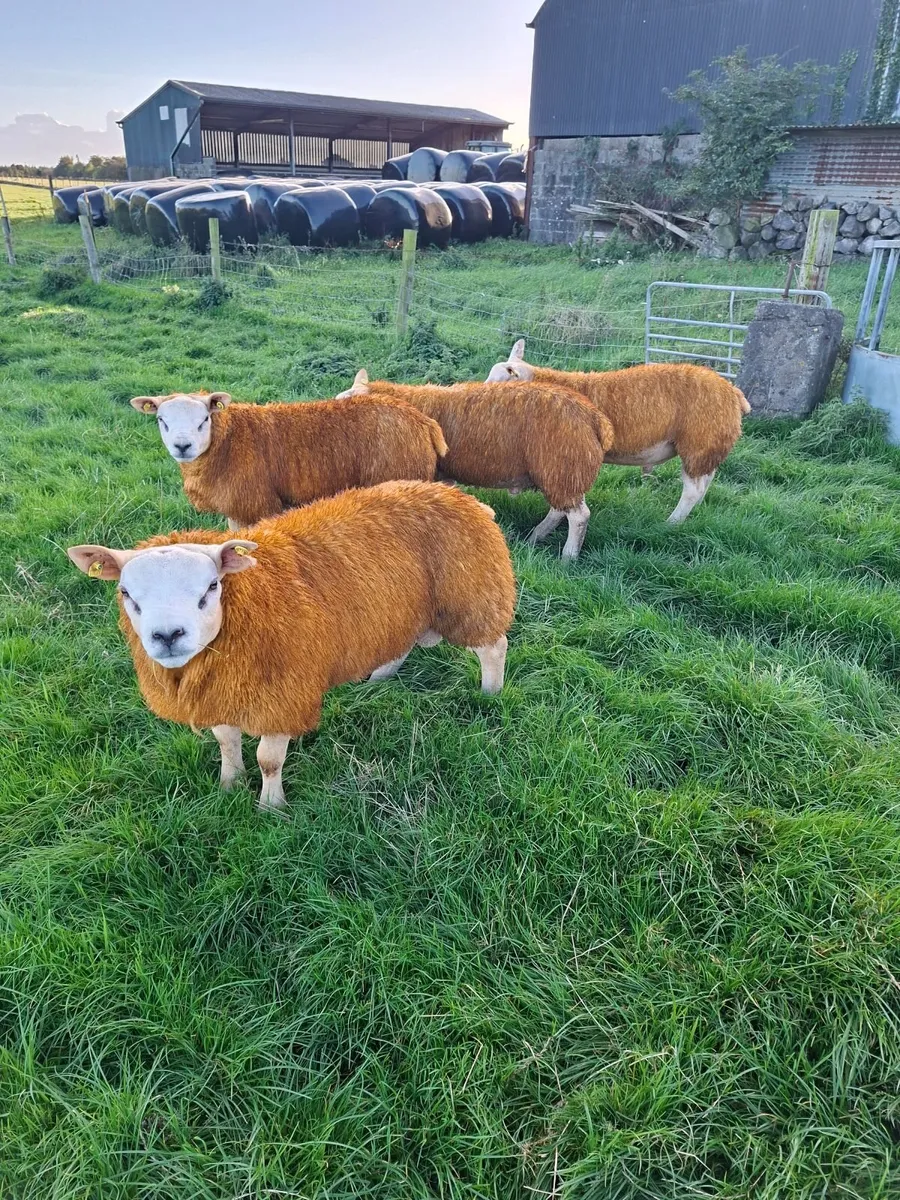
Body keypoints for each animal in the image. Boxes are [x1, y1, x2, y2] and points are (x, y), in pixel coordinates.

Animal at [67, 480, 516, 812]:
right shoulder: (221, 691)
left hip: (471, 594)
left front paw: (271, 807)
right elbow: (226, 742)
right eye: (126, 593)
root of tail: (462, 498)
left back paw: (490, 694)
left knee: (494, 646)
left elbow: (269, 760)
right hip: (399, 607)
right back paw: (380, 677)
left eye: (211, 587)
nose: (167, 636)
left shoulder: (282, 694)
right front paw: (229, 784)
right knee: (400, 641)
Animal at [130, 390, 449, 529]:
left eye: (205, 419)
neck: (228, 441)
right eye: (161, 420)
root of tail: (424, 422)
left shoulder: (259, 506)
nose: (182, 446)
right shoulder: (237, 509)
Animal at [336, 371, 614, 560]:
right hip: (562, 471)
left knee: (578, 516)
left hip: (563, 466)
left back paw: (568, 557)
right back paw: (535, 537)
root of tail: (594, 417)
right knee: (560, 509)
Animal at [486, 339, 751, 523]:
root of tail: (733, 393)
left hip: (698, 442)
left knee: (692, 490)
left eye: (499, 381)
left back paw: (672, 523)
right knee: (705, 482)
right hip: (709, 446)